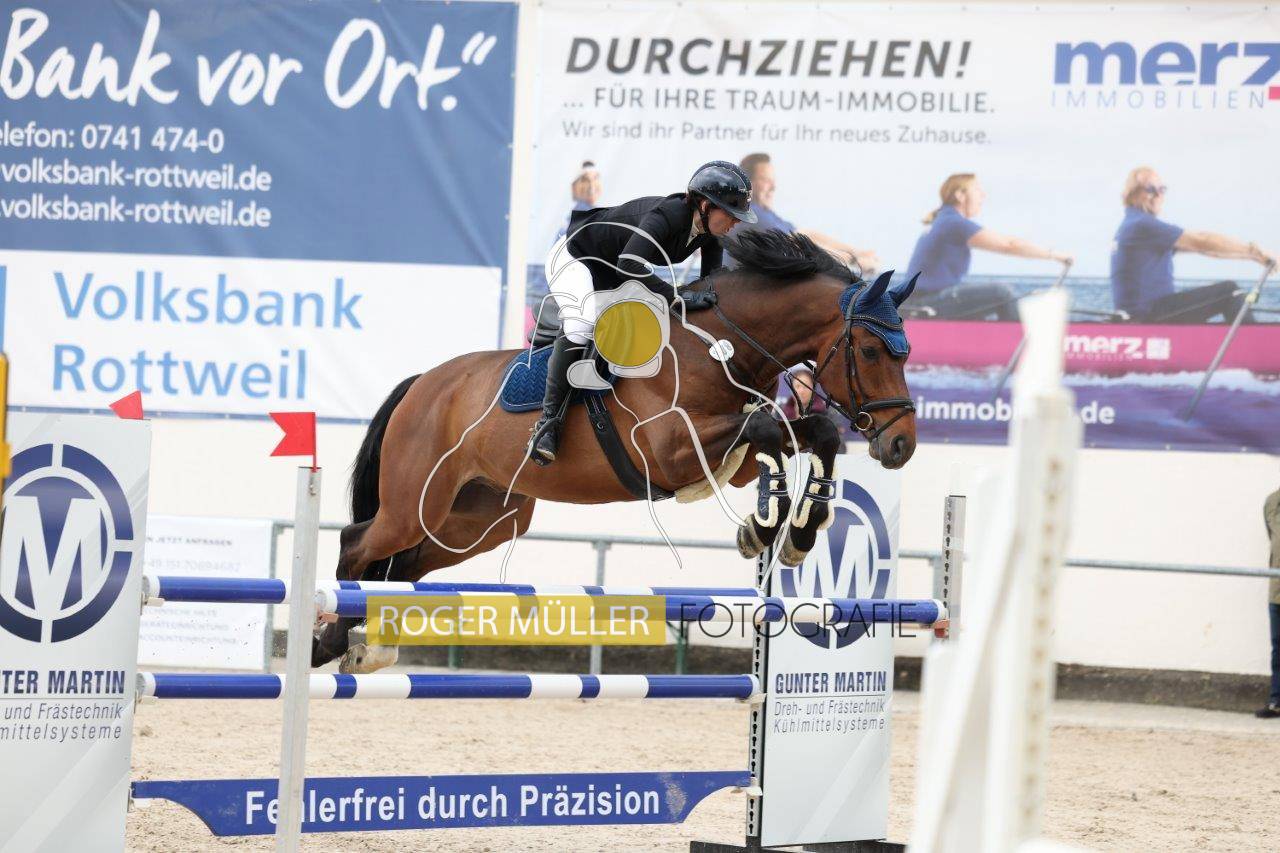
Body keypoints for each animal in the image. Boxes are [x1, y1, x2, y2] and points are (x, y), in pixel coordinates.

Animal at [312, 230, 918, 671]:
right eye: (870, 350)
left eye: (906, 351)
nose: (901, 444)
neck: (718, 347)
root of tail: (423, 384)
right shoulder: (672, 450)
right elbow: (770, 429)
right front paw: (765, 529)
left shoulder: (732, 461)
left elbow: (813, 433)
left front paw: (795, 533)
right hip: (415, 504)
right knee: (356, 542)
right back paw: (331, 638)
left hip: (478, 520)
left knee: (405, 562)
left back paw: (371, 640)